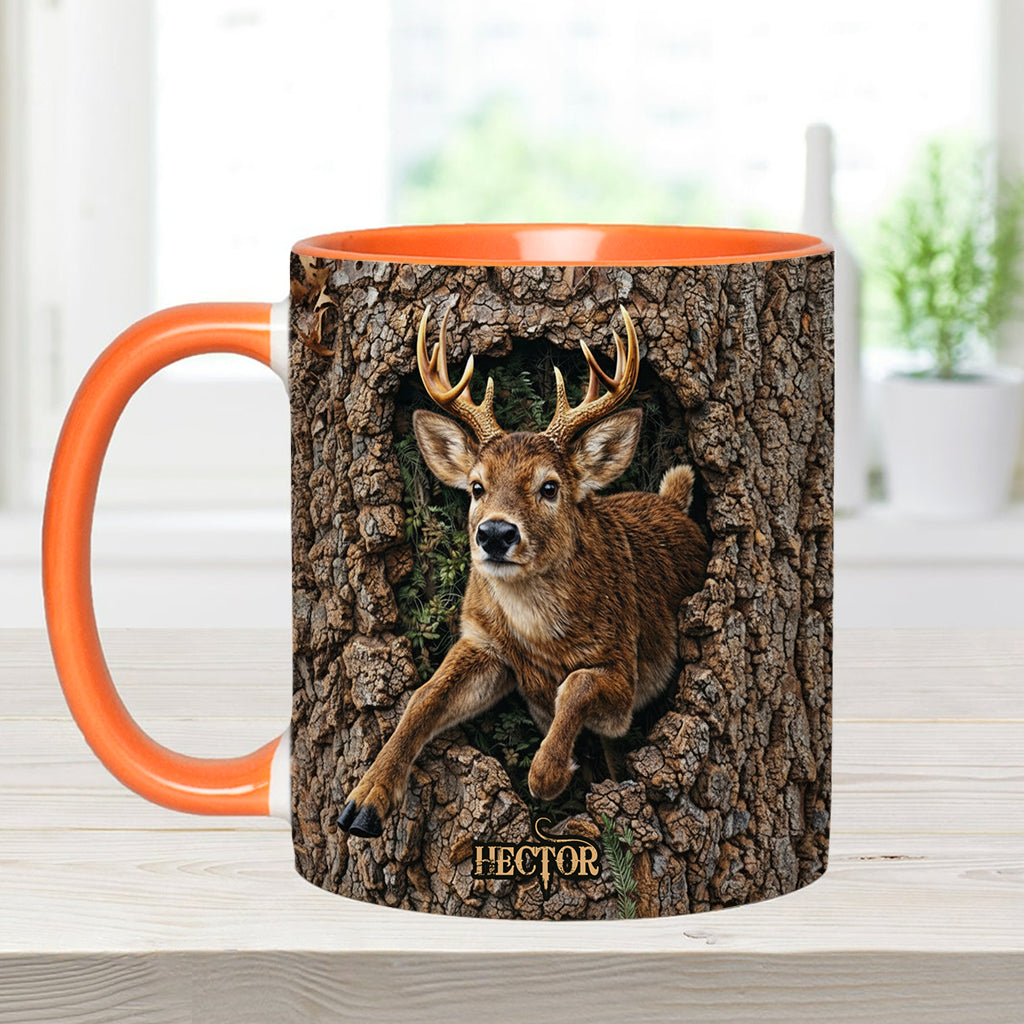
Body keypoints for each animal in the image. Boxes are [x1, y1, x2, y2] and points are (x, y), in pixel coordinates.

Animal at [338, 303, 709, 838]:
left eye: (550, 487)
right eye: (476, 486)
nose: (495, 533)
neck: (538, 636)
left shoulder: (624, 668)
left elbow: (576, 685)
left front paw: (548, 774)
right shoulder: (482, 642)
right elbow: (423, 698)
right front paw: (362, 802)